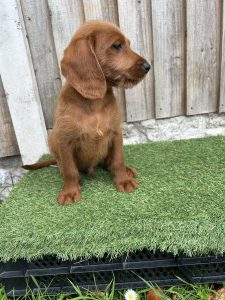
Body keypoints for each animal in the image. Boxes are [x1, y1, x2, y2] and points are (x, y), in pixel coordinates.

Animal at [22, 20, 150, 204]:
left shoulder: (115, 134)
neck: (94, 103)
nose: (148, 66)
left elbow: (118, 160)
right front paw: (70, 191)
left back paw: (127, 170)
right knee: (64, 167)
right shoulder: (64, 140)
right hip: (53, 139)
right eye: (117, 46)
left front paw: (123, 180)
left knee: (109, 162)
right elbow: (70, 170)